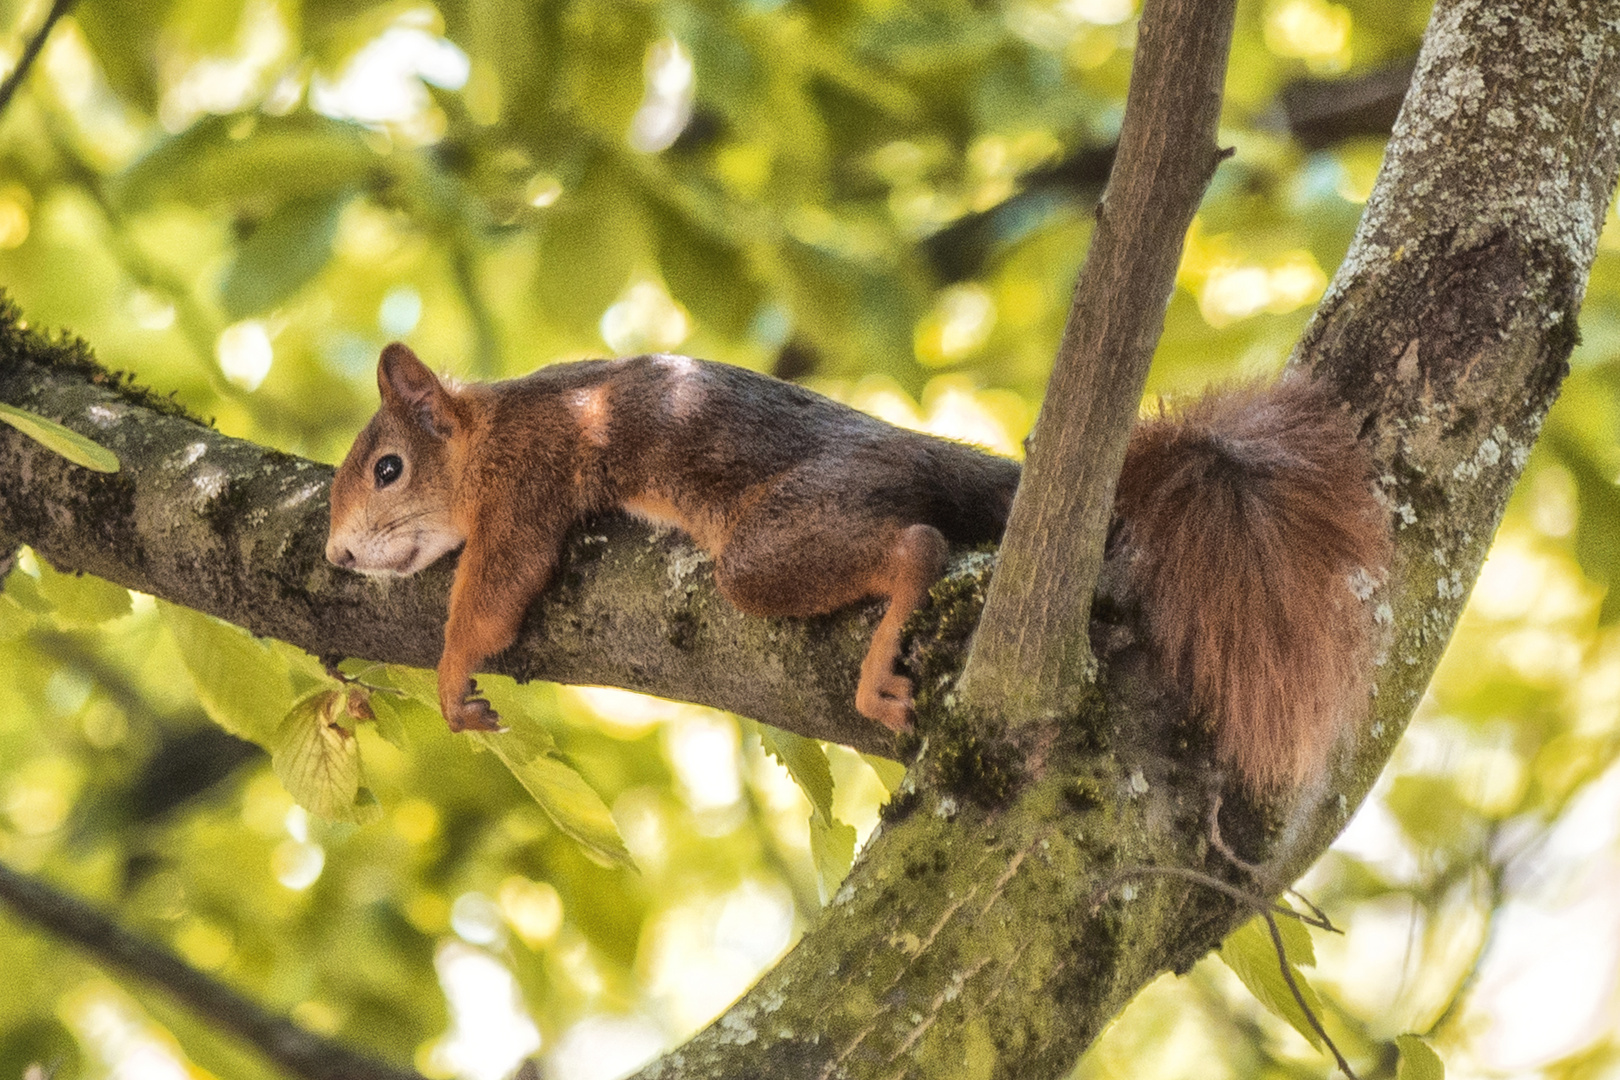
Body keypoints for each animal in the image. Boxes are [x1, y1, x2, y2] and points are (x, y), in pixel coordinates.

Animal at [328, 346, 1393, 793]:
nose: (336, 553)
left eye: (388, 469)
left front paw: (451, 670)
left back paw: (883, 658)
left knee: (911, 546)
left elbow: (498, 586)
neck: (491, 427)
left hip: (779, 538)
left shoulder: (533, 479)